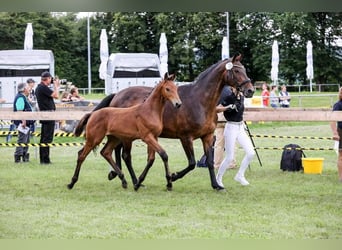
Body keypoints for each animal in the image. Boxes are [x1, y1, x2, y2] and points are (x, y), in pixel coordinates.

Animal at [76, 53, 255, 190]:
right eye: (236, 70)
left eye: (245, 69)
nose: (250, 90)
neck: (200, 101)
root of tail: (117, 94)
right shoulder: (185, 137)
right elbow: (191, 163)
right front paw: (173, 177)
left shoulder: (207, 137)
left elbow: (210, 162)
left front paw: (216, 185)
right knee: (123, 155)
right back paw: (126, 178)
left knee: (117, 152)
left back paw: (121, 177)